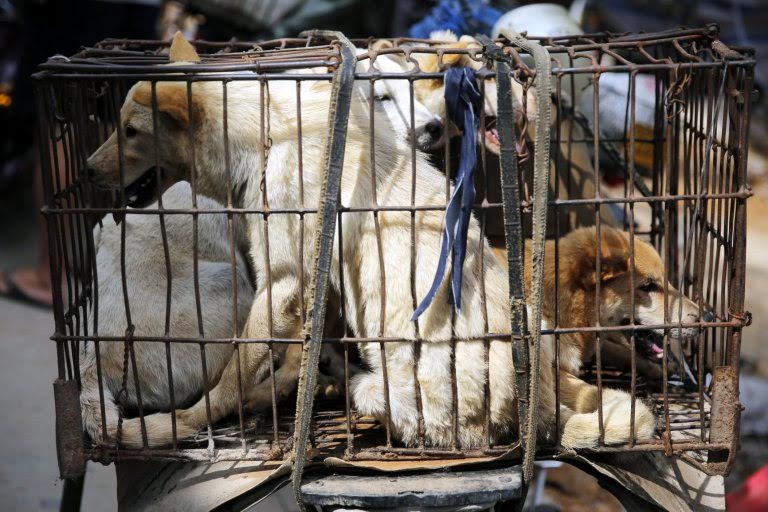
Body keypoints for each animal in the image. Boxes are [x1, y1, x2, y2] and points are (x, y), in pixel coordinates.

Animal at [82, 35, 696, 448]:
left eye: (131, 131)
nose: (86, 170)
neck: (267, 131)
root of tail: (535, 409)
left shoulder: (281, 286)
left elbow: (229, 377)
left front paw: (183, 422)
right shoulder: (314, 286)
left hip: (380, 382)